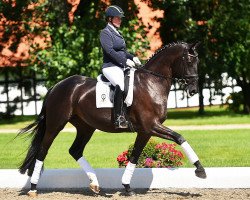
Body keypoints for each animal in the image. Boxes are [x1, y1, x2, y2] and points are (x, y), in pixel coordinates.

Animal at [18, 41, 206, 197]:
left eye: (197, 62)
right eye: (189, 61)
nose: (193, 90)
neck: (152, 82)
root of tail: (56, 86)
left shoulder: (145, 131)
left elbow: (135, 156)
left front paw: (127, 187)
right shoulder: (151, 126)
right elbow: (179, 137)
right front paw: (200, 170)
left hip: (86, 127)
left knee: (75, 150)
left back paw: (95, 184)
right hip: (56, 125)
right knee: (42, 151)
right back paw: (33, 188)